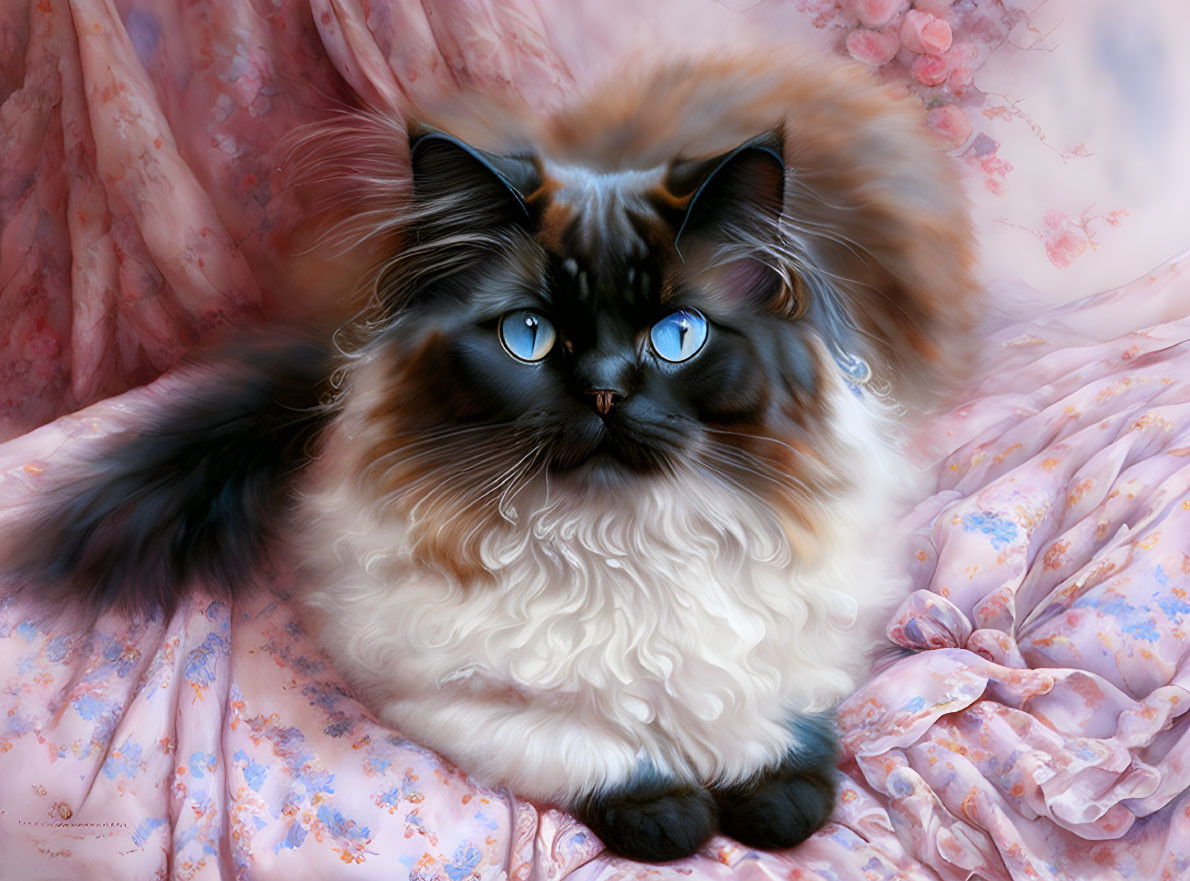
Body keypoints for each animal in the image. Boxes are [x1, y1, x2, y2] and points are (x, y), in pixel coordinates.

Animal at [2, 51, 975, 861]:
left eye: (676, 335)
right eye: (530, 336)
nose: (606, 391)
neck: (619, 542)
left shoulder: (813, 633)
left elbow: (771, 719)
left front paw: (772, 805)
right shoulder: (438, 695)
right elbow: (591, 749)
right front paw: (674, 817)